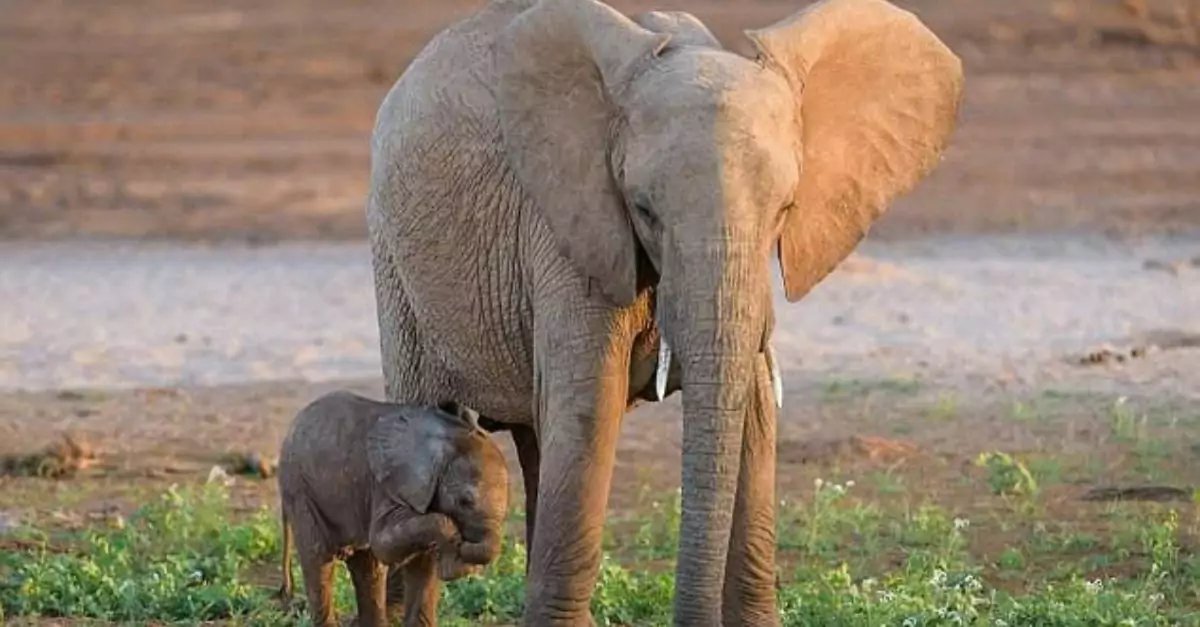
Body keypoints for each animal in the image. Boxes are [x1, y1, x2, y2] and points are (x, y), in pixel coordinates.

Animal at [278, 389, 508, 624]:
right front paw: (456, 566)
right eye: (464, 501)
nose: (464, 548)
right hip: (299, 489)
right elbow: (383, 543)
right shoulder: (387, 486)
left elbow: (423, 565)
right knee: (319, 560)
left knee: (367, 567)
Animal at [364, 0, 964, 619]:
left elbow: (751, 409)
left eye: (784, 209)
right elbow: (588, 411)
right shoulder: (570, 232)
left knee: (535, 440)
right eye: (644, 210)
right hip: (393, 263)